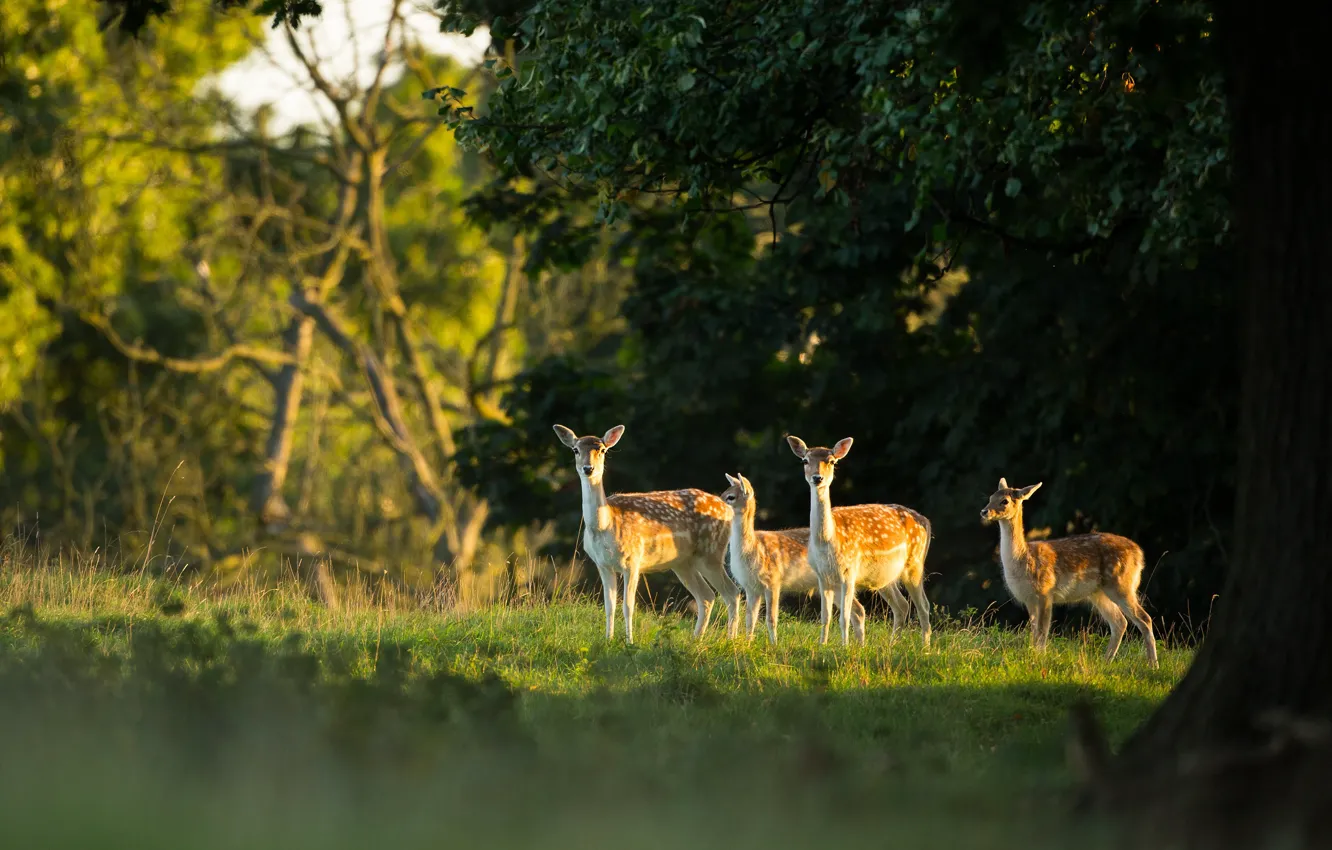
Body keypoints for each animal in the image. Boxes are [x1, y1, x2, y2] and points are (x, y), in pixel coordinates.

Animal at [553, 424, 741, 644]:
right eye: (575, 450)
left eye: (602, 450)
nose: (588, 469)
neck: (604, 526)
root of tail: (727, 510)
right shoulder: (602, 564)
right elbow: (609, 606)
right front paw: (608, 640)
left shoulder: (633, 560)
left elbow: (628, 606)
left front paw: (629, 642)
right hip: (683, 562)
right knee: (707, 596)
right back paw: (696, 640)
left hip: (711, 552)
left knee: (732, 592)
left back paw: (732, 640)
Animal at [720, 472, 865, 644]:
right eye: (723, 493)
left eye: (730, 497)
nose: (716, 503)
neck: (752, 550)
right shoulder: (751, 587)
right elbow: (750, 619)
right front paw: (748, 644)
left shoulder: (773, 581)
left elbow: (771, 619)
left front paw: (774, 645)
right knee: (858, 611)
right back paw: (859, 646)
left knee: (857, 610)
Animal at [785, 436, 933, 647]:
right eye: (805, 461)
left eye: (832, 461)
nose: (817, 478)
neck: (826, 542)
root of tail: (926, 521)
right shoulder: (822, 575)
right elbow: (825, 617)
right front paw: (822, 645)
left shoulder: (849, 571)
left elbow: (844, 616)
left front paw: (844, 647)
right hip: (885, 577)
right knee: (902, 605)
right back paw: (892, 644)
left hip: (915, 564)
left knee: (924, 606)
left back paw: (925, 648)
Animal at [979, 478, 1158, 667]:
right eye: (991, 497)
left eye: (1004, 501)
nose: (984, 511)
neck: (1023, 560)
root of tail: (1139, 554)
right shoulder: (1029, 599)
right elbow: (1034, 632)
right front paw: (1033, 656)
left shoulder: (1045, 592)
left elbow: (1042, 631)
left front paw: (1040, 659)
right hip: (1098, 593)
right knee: (1119, 622)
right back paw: (1106, 662)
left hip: (1121, 584)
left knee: (1144, 619)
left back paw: (1153, 665)